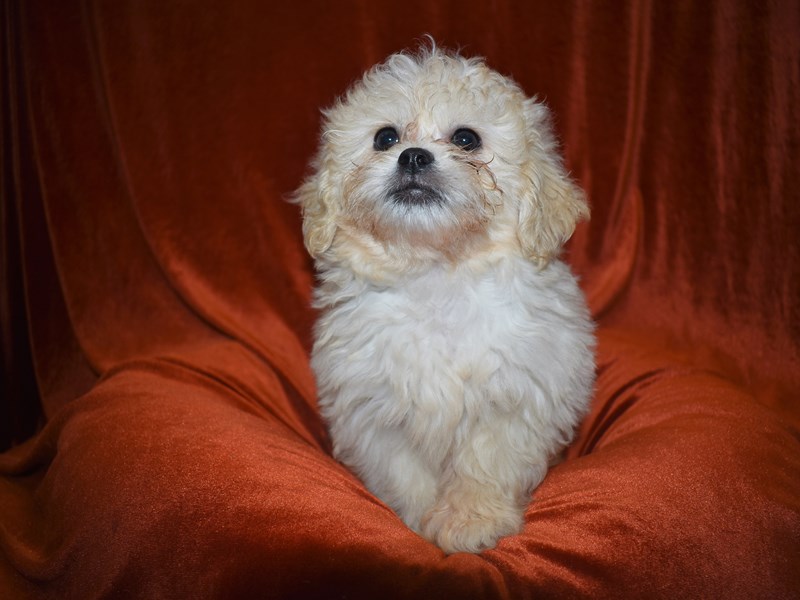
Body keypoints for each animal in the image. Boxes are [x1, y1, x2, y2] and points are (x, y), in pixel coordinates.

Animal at [294, 45, 592, 552]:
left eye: (466, 139)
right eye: (385, 137)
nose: (413, 156)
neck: (435, 272)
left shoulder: (516, 395)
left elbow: (485, 460)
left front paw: (472, 522)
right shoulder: (374, 406)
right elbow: (404, 471)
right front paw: (415, 525)